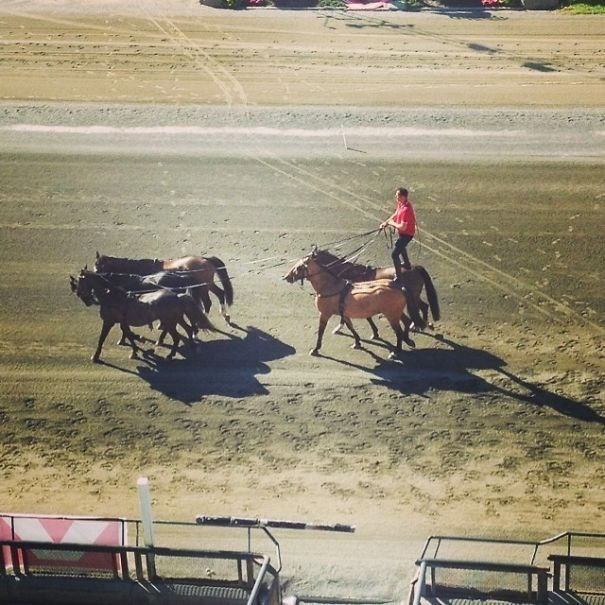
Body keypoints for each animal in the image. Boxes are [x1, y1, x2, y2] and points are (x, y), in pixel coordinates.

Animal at [69, 270, 215, 364]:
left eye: (80, 282)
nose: (86, 300)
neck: (112, 297)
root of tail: (176, 295)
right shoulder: (122, 322)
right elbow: (128, 334)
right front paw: (135, 349)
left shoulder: (108, 321)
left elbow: (102, 339)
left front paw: (95, 356)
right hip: (176, 319)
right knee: (188, 329)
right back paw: (192, 347)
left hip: (170, 322)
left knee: (177, 337)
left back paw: (170, 354)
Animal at [93, 250, 232, 324]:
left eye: (99, 268)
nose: (95, 290)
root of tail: (205, 259)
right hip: (208, 285)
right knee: (220, 293)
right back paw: (224, 315)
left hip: (203, 287)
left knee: (208, 302)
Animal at [282, 248, 420, 356]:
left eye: (298, 267)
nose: (286, 277)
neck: (330, 286)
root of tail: (398, 285)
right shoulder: (345, 313)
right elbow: (350, 327)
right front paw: (357, 342)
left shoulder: (325, 314)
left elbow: (321, 331)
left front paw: (316, 349)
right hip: (396, 313)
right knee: (407, 322)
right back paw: (408, 340)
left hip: (391, 315)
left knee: (399, 332)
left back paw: (396, 350)